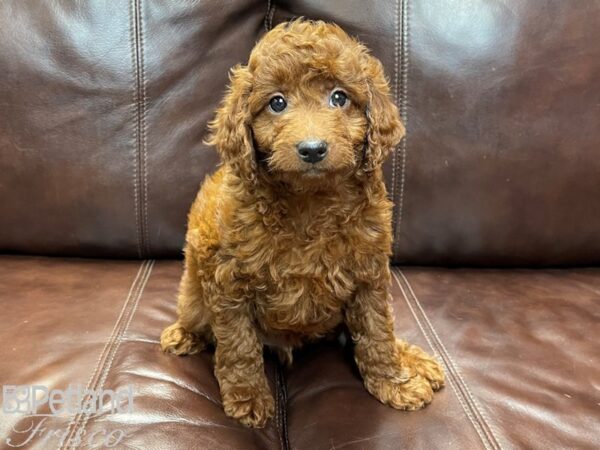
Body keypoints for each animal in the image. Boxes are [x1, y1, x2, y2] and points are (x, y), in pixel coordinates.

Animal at [162, 19, 442, 428]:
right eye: (277, 103)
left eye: (340, 98)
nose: (312, 149)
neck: (311, 200)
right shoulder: (227, 280)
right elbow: (239, 345)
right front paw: (248, 399)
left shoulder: (369, 275)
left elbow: (378, 332)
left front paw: (393, 383)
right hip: (194, 294)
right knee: (197, 319)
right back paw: (183, 335)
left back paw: (414, 358)